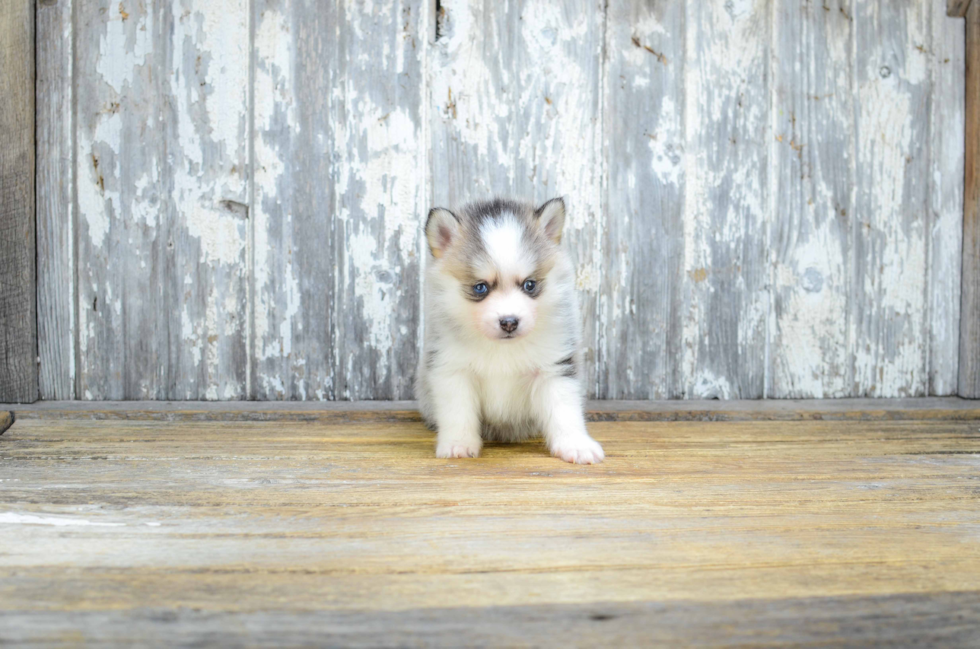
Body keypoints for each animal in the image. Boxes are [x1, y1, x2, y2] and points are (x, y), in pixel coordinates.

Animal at [416, 195, 604, 464]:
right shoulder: (452, 369)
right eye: (480, 287)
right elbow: (458, 413)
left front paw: (576, 445)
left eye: (529, 285)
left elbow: (564, 411)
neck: (502, 349)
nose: (509, 322)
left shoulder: (554, 369)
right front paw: (458, 444)